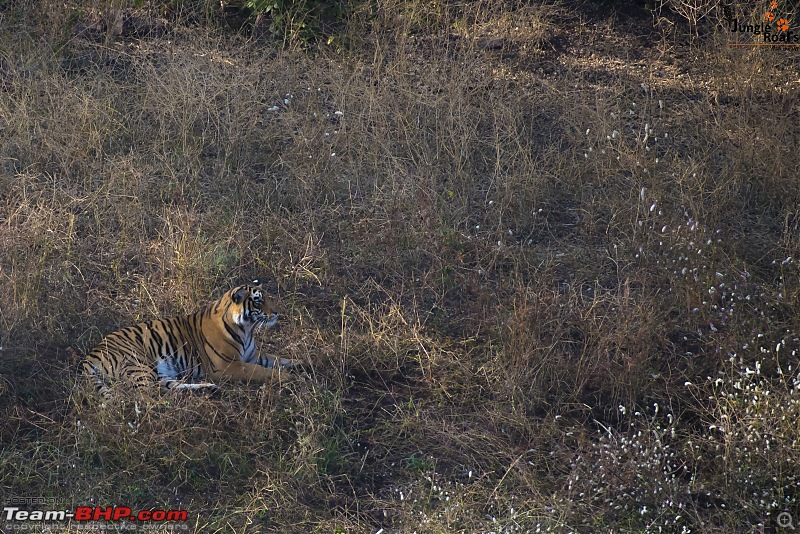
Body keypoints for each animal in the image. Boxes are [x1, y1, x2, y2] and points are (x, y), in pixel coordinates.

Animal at [82, 280, 296, 398]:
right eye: (259, 301)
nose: (277, 312)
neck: (247, 329)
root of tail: (90, 355)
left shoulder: (252, 355)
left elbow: (277, 359)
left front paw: (300, 364)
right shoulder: (228, 366)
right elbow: (259, 370)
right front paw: (287, 377)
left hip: (156, 372)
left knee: (168, 387)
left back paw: (206, 390)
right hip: (139, 365)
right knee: (145, 395)